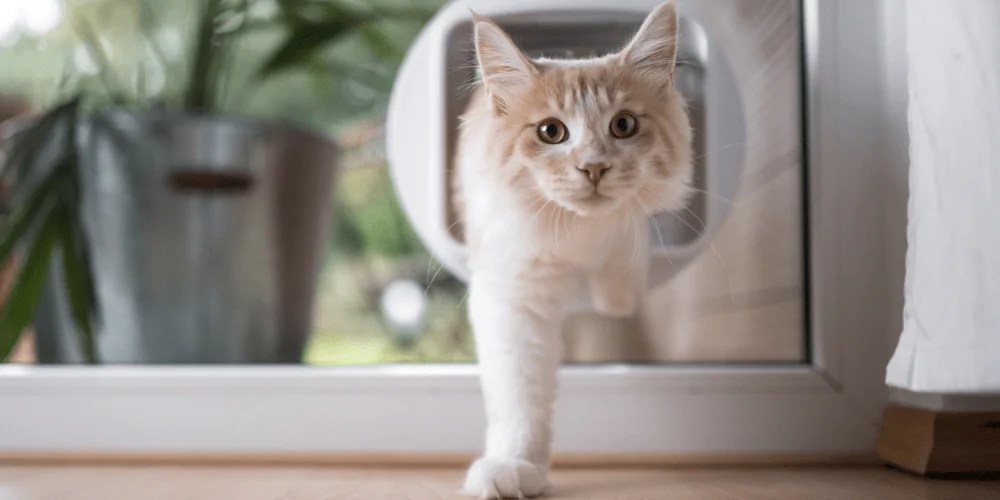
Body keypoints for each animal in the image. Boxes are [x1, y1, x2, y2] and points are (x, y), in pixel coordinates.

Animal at [456, 2, 696, 496]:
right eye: (551, 132)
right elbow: (519, 395)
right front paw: (513, 465)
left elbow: (625, 255)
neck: (580, 233)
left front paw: (617, 298)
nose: (594, 167)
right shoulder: (514, 296)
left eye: (623, 125)